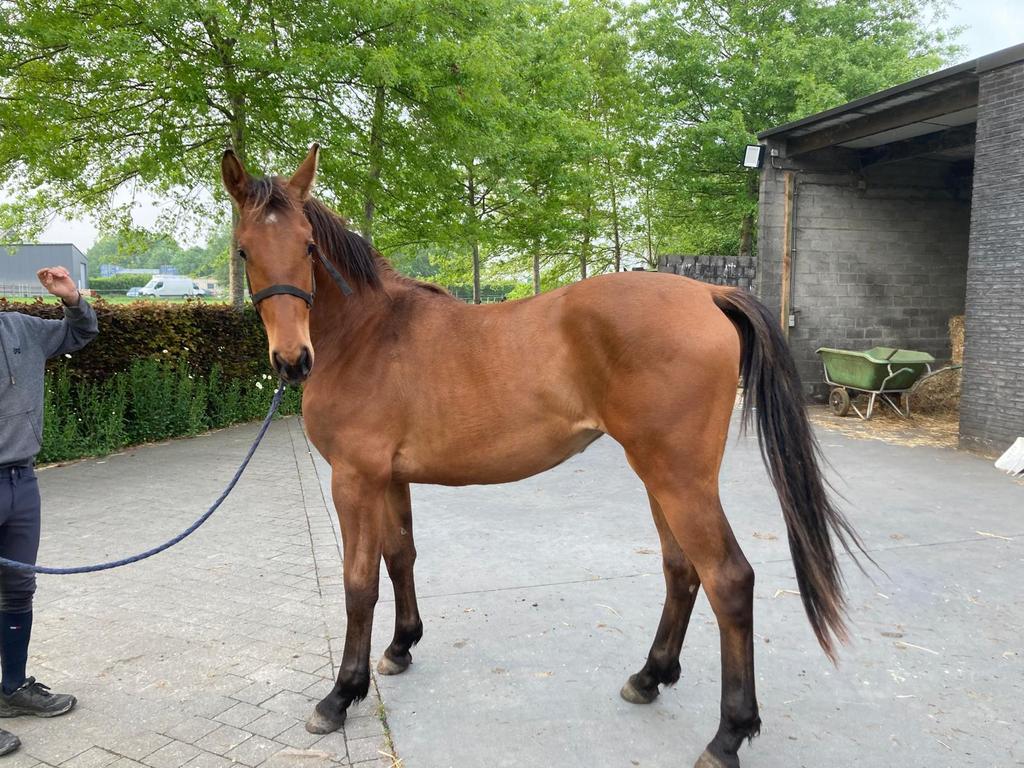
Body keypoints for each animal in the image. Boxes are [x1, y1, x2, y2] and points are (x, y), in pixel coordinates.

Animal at [221, 145, 863, 768]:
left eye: (307, 246)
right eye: (245, 249)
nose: (291, 360)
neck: (369, 333)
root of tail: (707, 291)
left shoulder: (354, 479)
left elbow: (359, 582)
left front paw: (339, 696)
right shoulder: (389, 479)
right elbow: (400, 556)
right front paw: (401, 647)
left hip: (680, 479)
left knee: (728, 579)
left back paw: (728, 736)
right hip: (660, 476)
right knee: (682, 570)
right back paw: (649, 677)